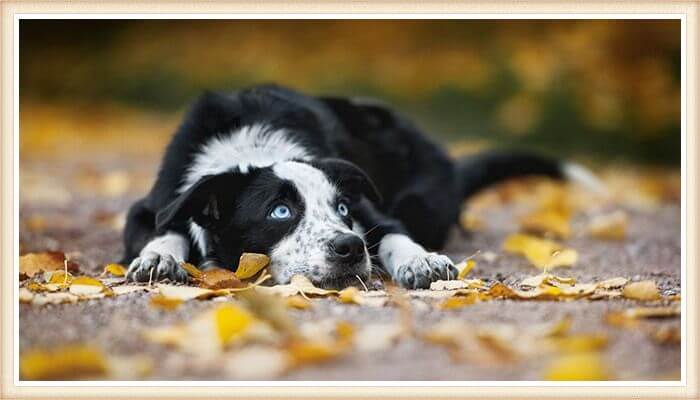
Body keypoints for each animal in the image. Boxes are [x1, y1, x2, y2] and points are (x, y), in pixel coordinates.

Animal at [121, 85, 600, 290]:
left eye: (343, 210)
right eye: (280, 211)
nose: (349, 247)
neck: (249, 146)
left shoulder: (373, 212)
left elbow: (392, 234)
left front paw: (422, 262)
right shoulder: (152, 206)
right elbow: (164, 228)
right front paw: (159, 258)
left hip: (421, 201)